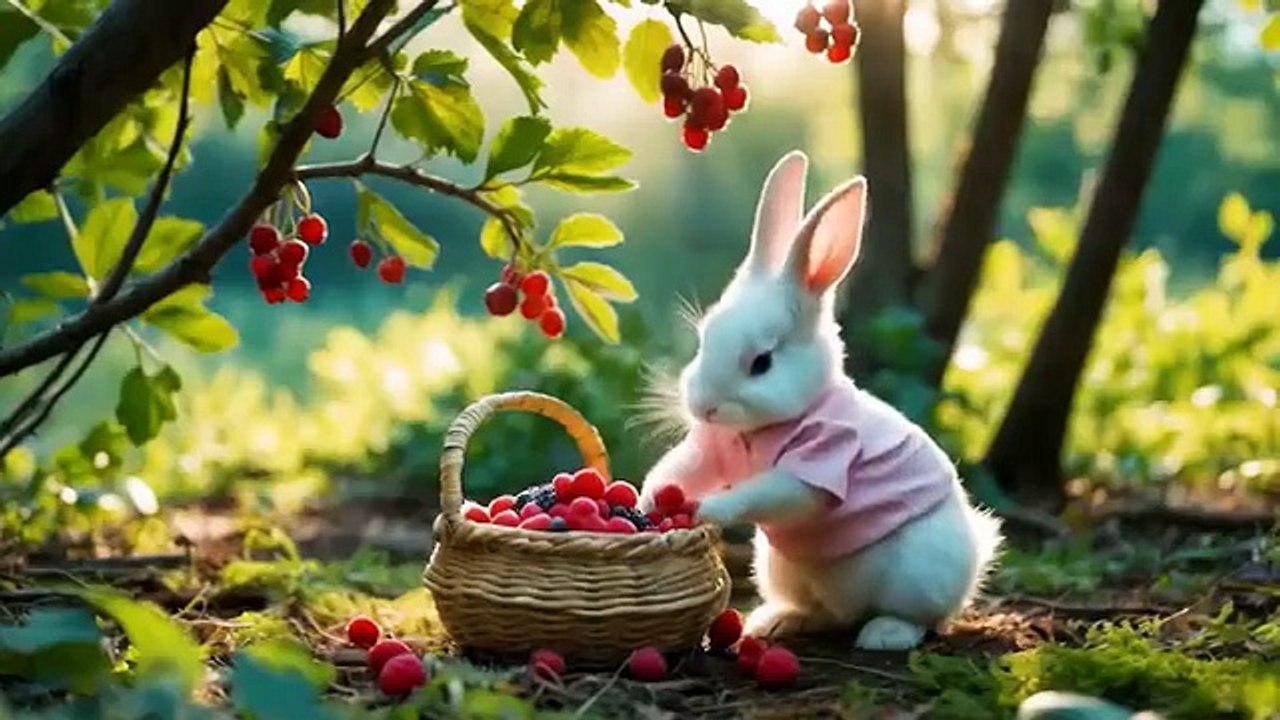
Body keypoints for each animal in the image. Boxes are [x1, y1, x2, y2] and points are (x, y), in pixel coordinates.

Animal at [638, 150, 1004, 651]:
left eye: (762, 362)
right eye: (703, 340)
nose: (705, 407)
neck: (762, 430)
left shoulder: (822, 461)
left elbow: (772, 492)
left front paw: (708, 510)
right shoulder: (709, 449)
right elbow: (679, 468)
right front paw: (646, 502)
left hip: (919, 576)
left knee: (921, 619)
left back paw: (883, 635)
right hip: (779, 569)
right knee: (821, 613)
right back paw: (775, 622)